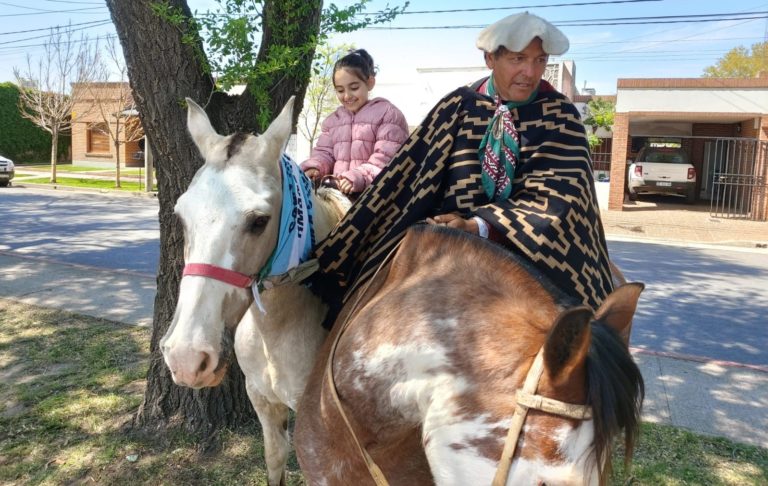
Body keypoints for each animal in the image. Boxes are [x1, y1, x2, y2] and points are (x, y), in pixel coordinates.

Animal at [159, 96, 350, 486]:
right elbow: (275, 459)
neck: (278, 330)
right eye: (181, 216)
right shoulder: (263, 401)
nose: (186, 358)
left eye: (259, 221)